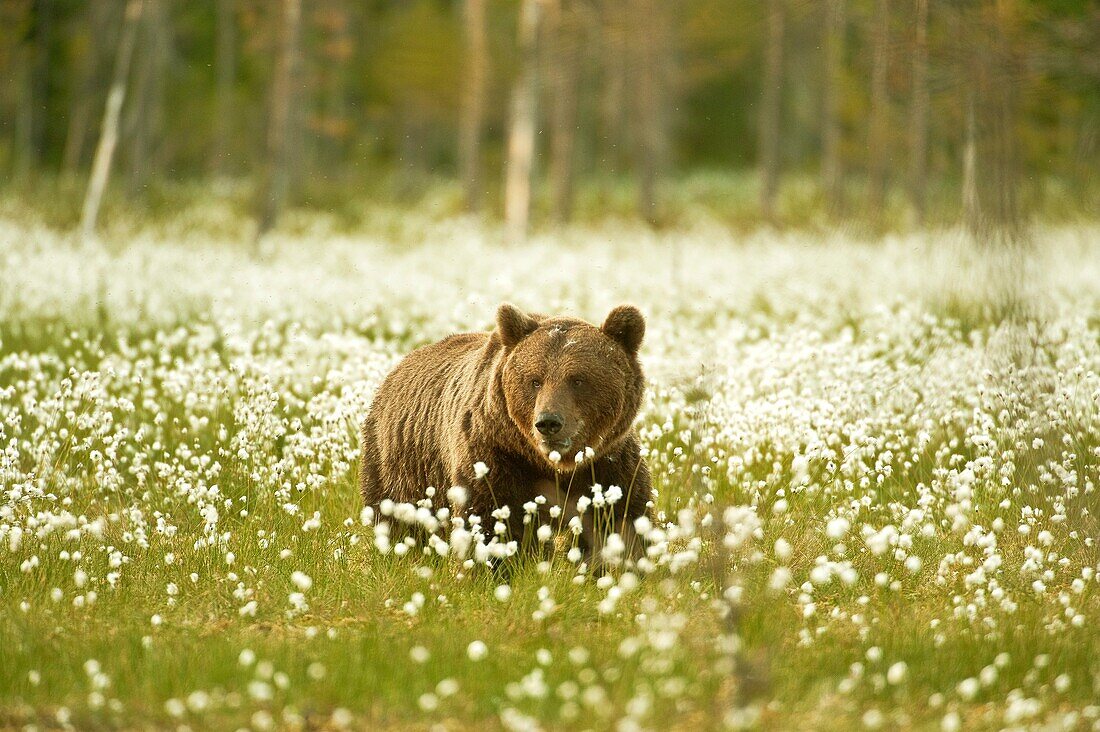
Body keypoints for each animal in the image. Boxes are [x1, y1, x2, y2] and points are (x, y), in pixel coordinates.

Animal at [360, 301, 651, 563]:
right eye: (535, 380)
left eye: (578, 379)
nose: (548, 422)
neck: (555, 466)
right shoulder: (496, 456)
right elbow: (490, 519)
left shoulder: (608, 465)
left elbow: (623, 518)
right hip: (397, 470)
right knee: (392, 517)